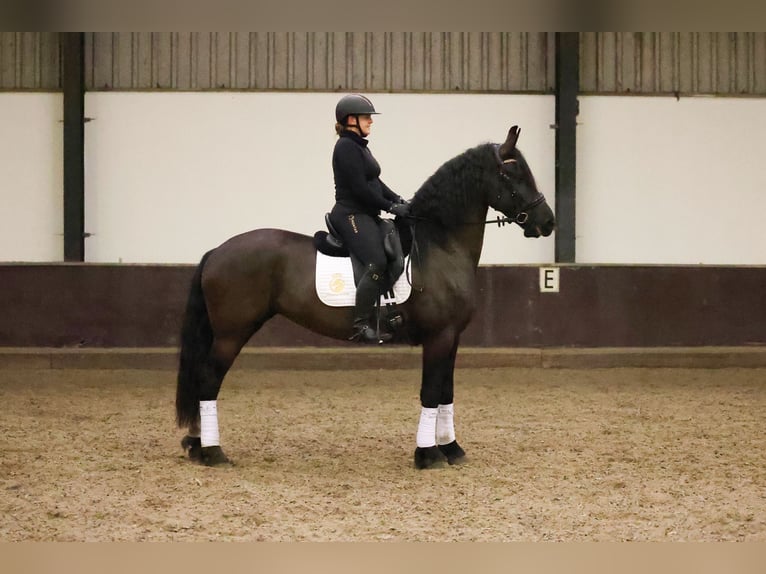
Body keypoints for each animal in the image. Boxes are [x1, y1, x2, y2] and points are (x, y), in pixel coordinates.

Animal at [175, 125, 555, 469]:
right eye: (512, 172)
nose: (547, 222)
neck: (439, 246)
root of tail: (217, 251)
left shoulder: (453, 337)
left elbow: (446, 392)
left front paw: (452, 449)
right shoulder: (438, 337)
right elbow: (430, 392)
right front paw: (428, 455)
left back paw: (197, 446)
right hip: (232, 332)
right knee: (208, 380)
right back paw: (213, 452)